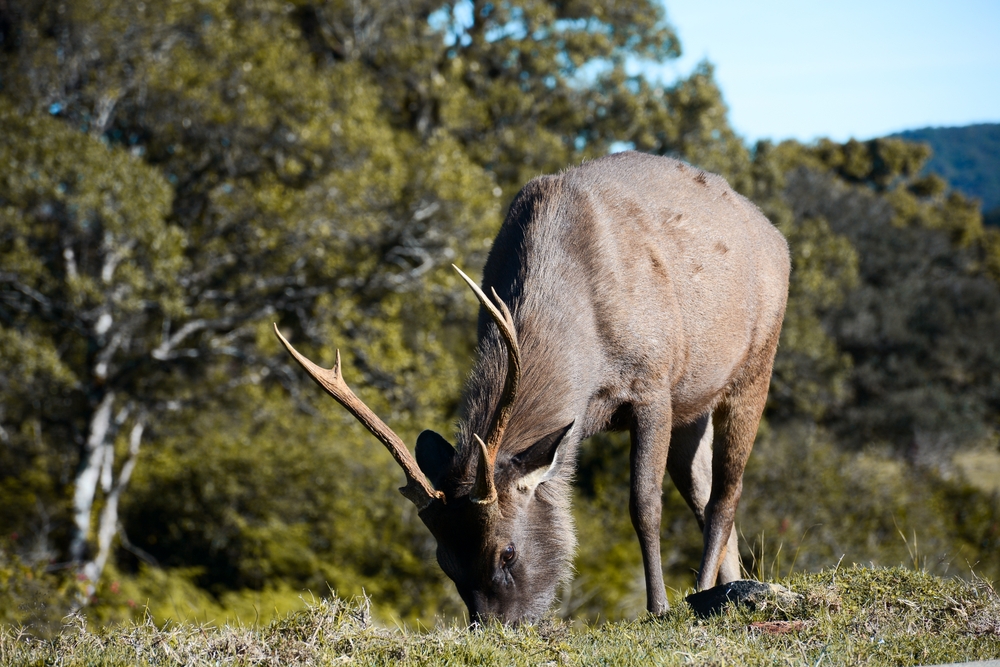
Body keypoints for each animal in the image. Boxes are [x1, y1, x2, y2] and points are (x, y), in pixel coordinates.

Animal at [274, 149, 788, 624]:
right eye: (445, 561)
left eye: (508, 552)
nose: (494, 627)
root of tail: (777, 238)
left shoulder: (652, 381)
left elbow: (644, 505)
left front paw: (658, 607)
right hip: (693, 407)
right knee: (705, 495)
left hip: (756, 362)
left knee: (725, 494)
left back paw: (704, 592)